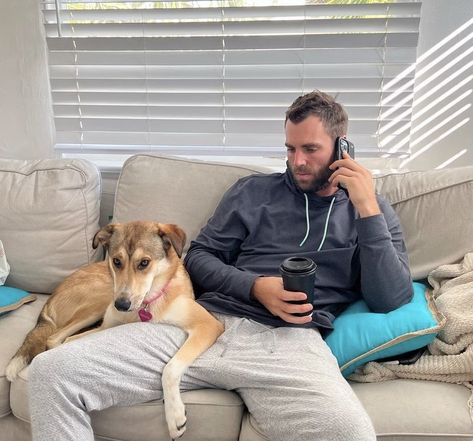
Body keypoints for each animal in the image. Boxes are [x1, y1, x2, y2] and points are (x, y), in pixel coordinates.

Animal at [5, 219, 223, 436]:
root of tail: (51, 298)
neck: (144, 306)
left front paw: (174, 415)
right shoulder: (106, 325)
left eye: (144, 263)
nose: (121, 305)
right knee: (56, 338)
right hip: (101, 299)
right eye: (117, 261)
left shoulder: (208, 325)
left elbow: (170, 368)